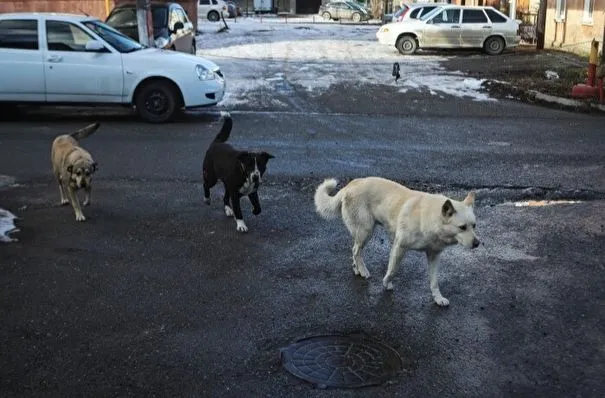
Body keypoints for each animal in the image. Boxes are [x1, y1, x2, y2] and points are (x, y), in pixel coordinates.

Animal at [314, 176, 478, 306]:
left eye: (474, 225)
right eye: (462, 227)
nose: (477, 244)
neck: (431, 219)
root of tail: (350, 185)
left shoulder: (434, 255)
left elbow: (434, 281)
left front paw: (438, 298)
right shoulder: (399, 247)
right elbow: (392, 270)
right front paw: (386, 283)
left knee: (354, 250)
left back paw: (357, 269)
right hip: (366, 231)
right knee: (356, 250)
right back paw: (363, 270)